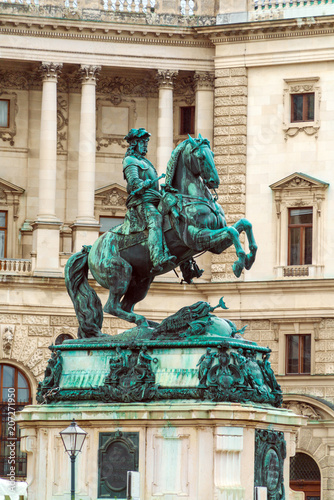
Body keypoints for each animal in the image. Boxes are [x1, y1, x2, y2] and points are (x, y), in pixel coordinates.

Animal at [66, 135, 258, 338]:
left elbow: (244, 225)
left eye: (213, 154)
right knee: (111, 306)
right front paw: (239, 263)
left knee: (125, 306)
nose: (214, 181)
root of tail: (91, 249)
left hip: (141, 282)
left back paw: (152, 325)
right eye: (200, 156)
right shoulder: (197, 238)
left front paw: (250, 257)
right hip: (120, 272)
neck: (191, 197)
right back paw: (145, 323)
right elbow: (233, 231)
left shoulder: (215, 245)